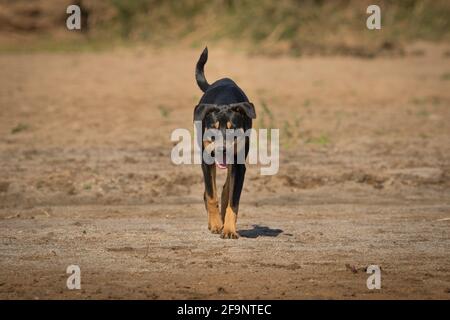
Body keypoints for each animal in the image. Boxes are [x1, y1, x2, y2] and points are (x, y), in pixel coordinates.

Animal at [193, 47, 256, 238]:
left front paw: (228, 229)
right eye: (212, 129)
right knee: (210, 193)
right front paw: (215, 224)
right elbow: (211, 195)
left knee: (226, 189)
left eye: (231, 128)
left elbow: (232, 201)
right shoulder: (206, 161)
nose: (221, 150)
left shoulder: (239, 165)